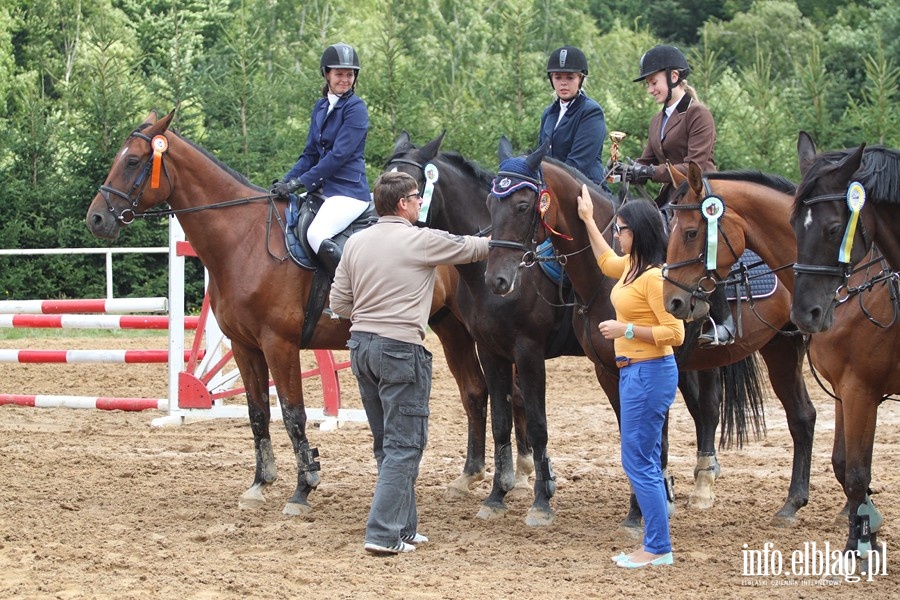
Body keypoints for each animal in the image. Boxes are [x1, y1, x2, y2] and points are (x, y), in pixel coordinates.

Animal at [83, 112, 488, 516]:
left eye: (132, 161)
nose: (97, 219)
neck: (244, 240)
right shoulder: (244, 346)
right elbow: (258, 414)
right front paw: (259, 484)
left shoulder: (279, 344)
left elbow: (294, 414)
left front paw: (303, 488)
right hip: (449, 327)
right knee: (473, 390)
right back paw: (469, 476)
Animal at [384, 132, 584, 524]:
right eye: (491, 204)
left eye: (411, 187)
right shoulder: (490, 348)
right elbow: (500, 417)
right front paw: (497, 494)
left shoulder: (528, 350)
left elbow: (535, 420)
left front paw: (540, 499)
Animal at [486, 154, 816, 524]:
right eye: (489, 205)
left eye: (523, 206)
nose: (496, 279)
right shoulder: (607, 371)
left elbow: (654, 440)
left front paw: (646, 508)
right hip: (777, 349)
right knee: (792, 416)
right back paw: (784, 502)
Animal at [664, 159, 896, 556]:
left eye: (692, 233)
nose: (673, 301)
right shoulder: (849, 385)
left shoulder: (858, 385)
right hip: (781, 350)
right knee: (802, 417)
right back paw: (793, 504)